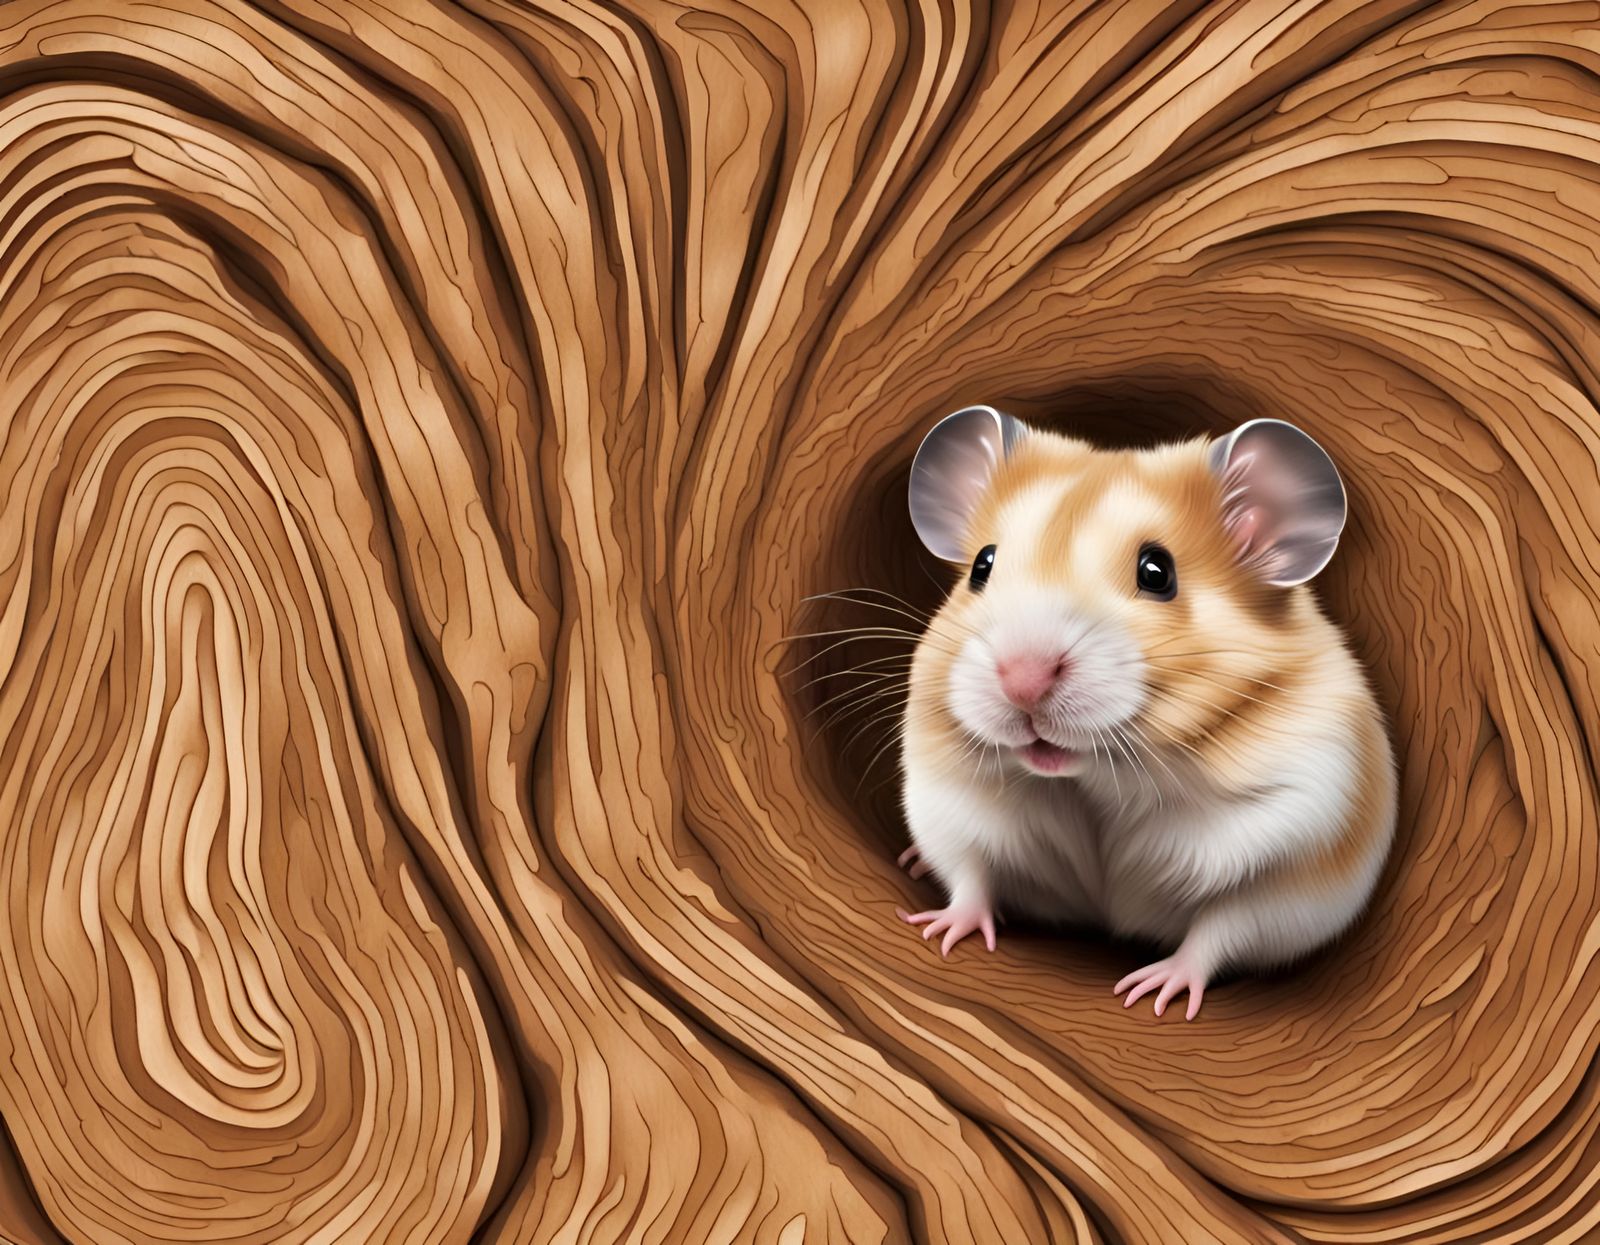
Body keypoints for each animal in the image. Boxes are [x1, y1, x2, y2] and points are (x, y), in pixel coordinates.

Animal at [895, 405, 1397, 1020]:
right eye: (981, 567)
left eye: (1157, 572)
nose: (1022, 679)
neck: (1101, 780)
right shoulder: (944, 808)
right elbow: (970, 875)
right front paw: (937, 930)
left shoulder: (1293, 860)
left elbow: (1219, 930)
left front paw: (1150, 992)